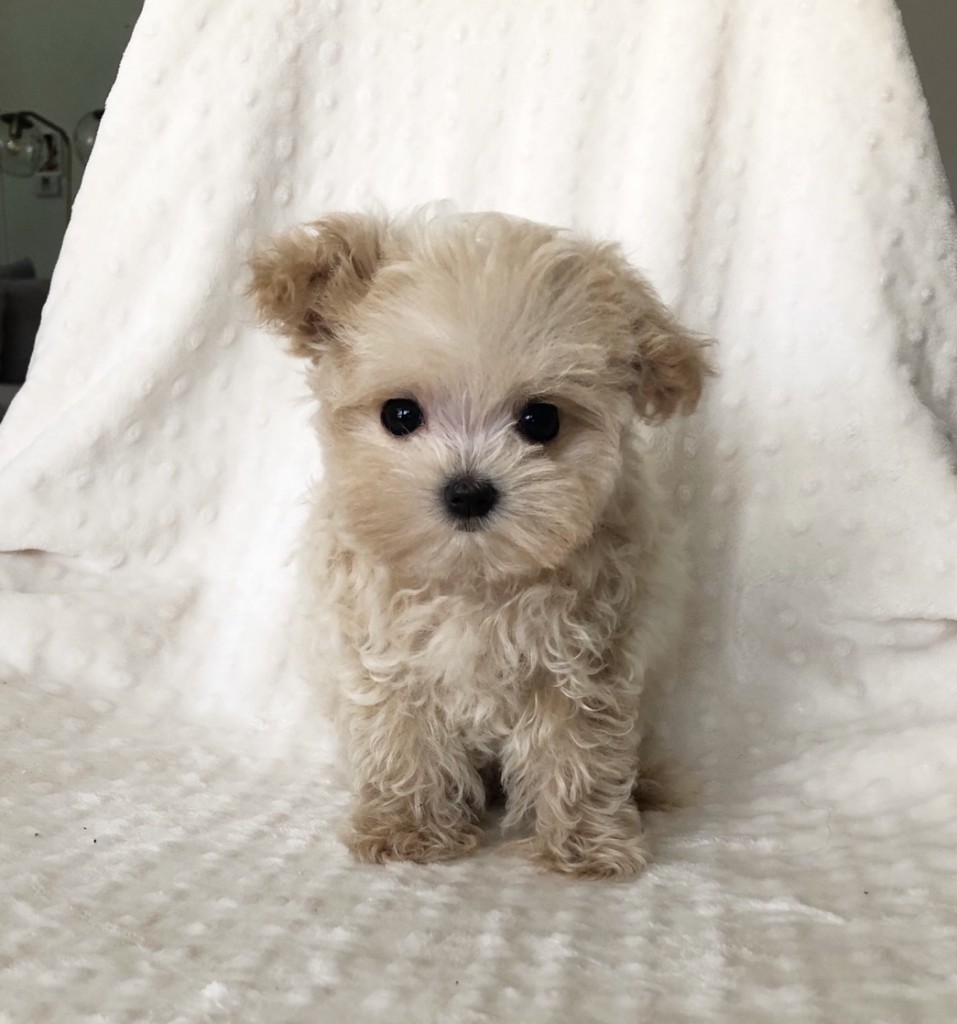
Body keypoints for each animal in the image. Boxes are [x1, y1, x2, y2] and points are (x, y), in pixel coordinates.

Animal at [250, 209, 708, 880]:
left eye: (541, 420)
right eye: (400, 414)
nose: (467, 492)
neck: (472, 581)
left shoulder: (587, 658)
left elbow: (577, 746)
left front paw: (584, 846)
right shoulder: (385, 653)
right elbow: (403, 738)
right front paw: (408, 829)